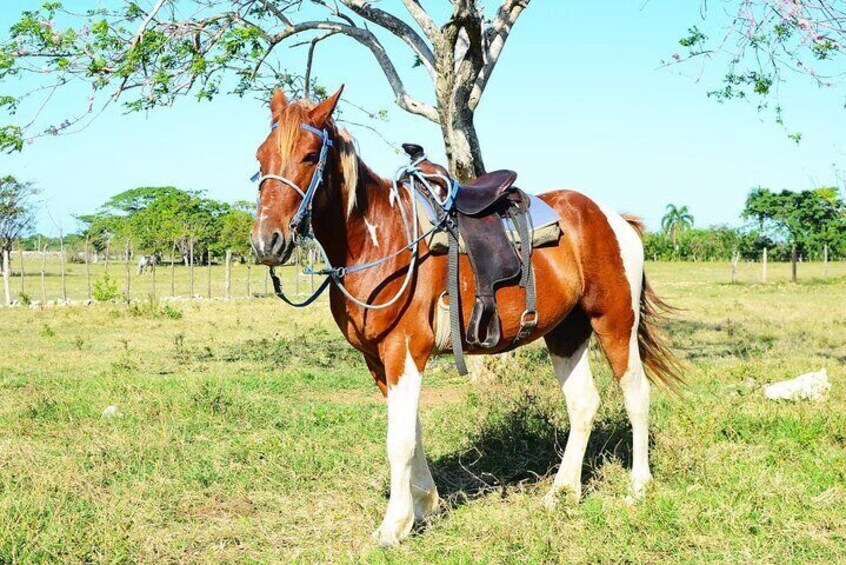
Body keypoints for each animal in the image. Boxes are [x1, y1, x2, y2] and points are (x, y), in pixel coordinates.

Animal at [250, 86, 684, 544]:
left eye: (309, 156)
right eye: (261, 156)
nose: (266, 242)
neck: (382, 239)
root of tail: (616, 220)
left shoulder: (405, 351)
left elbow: (399, 439)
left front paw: (393, 525)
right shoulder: (378, 360)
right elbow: (413, 429)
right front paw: (423, 507)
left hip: (614, 322)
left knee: (636, 394)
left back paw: (638, 487)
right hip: (566, 332)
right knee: (583, 403)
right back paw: (562, 493)